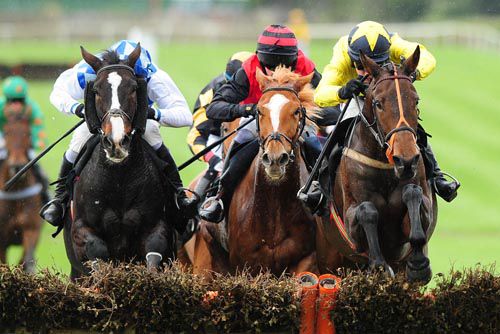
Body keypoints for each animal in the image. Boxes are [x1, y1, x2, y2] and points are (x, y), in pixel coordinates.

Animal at [0, 111, 42, 272]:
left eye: (28, 133)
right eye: (6, 132)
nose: (17, 165)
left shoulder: (31, 229)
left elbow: (26, 260)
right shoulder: (2, 237)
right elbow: (4, 263)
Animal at [191, 66, 320, 276]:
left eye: (295, 111)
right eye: (259, 110)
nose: (275, 158)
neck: (274, 204)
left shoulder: (306, 258)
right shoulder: (245, 265)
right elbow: (216, 103)